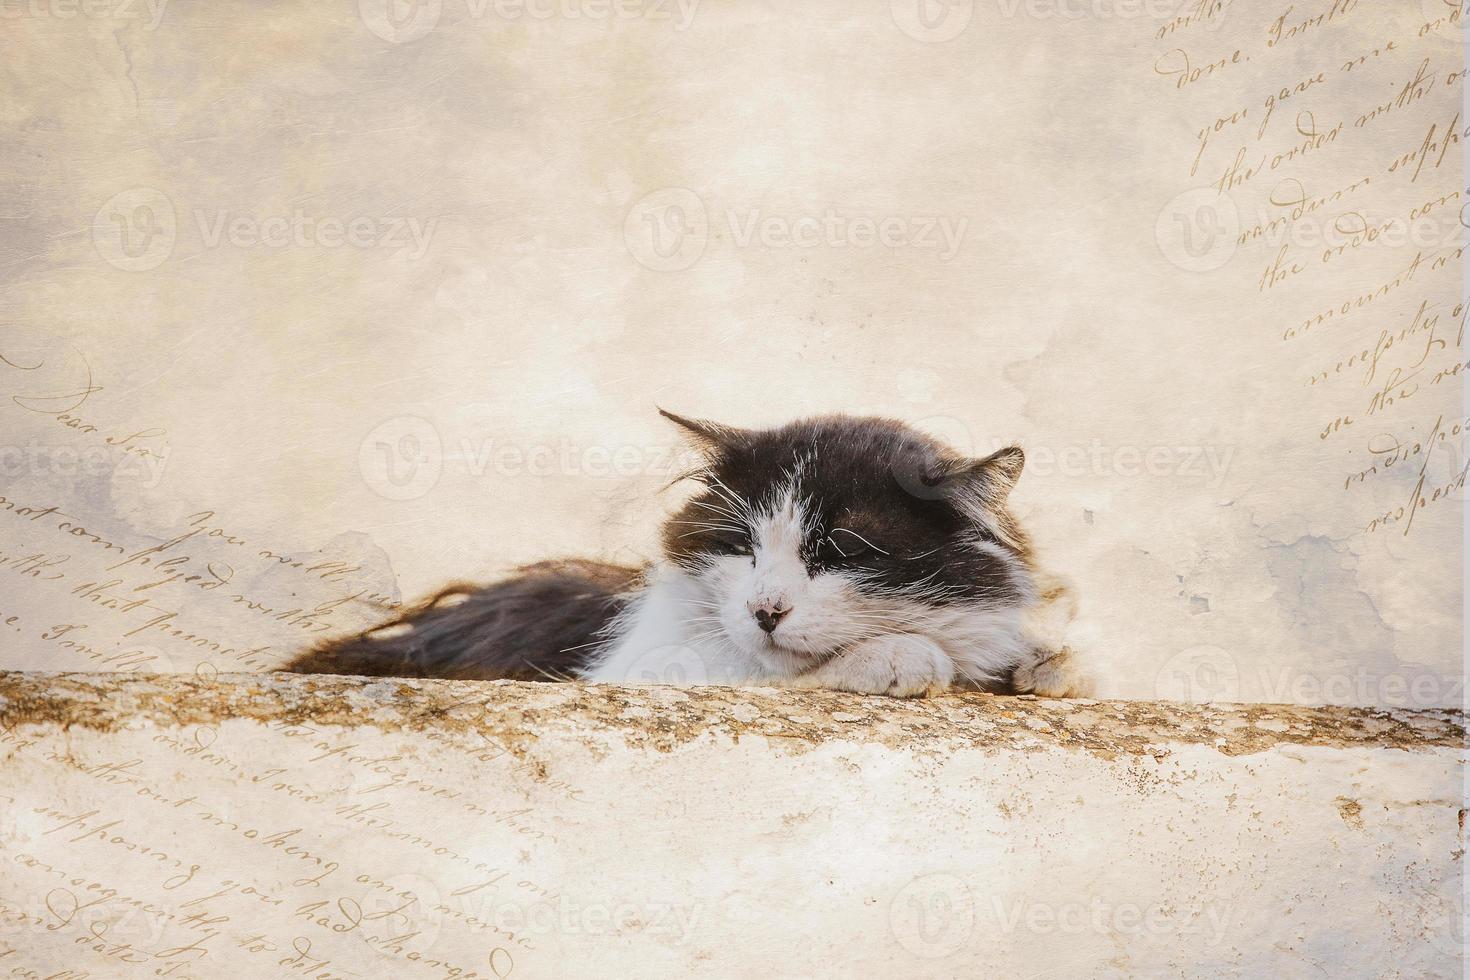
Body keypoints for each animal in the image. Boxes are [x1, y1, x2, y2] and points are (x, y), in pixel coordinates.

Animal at [283, 411, 1093, 702]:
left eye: (840, 553)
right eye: (741, 548)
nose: (765, 609)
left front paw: (1039, 664)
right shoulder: (638, 668)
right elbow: (761, 674)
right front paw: (900, 658)